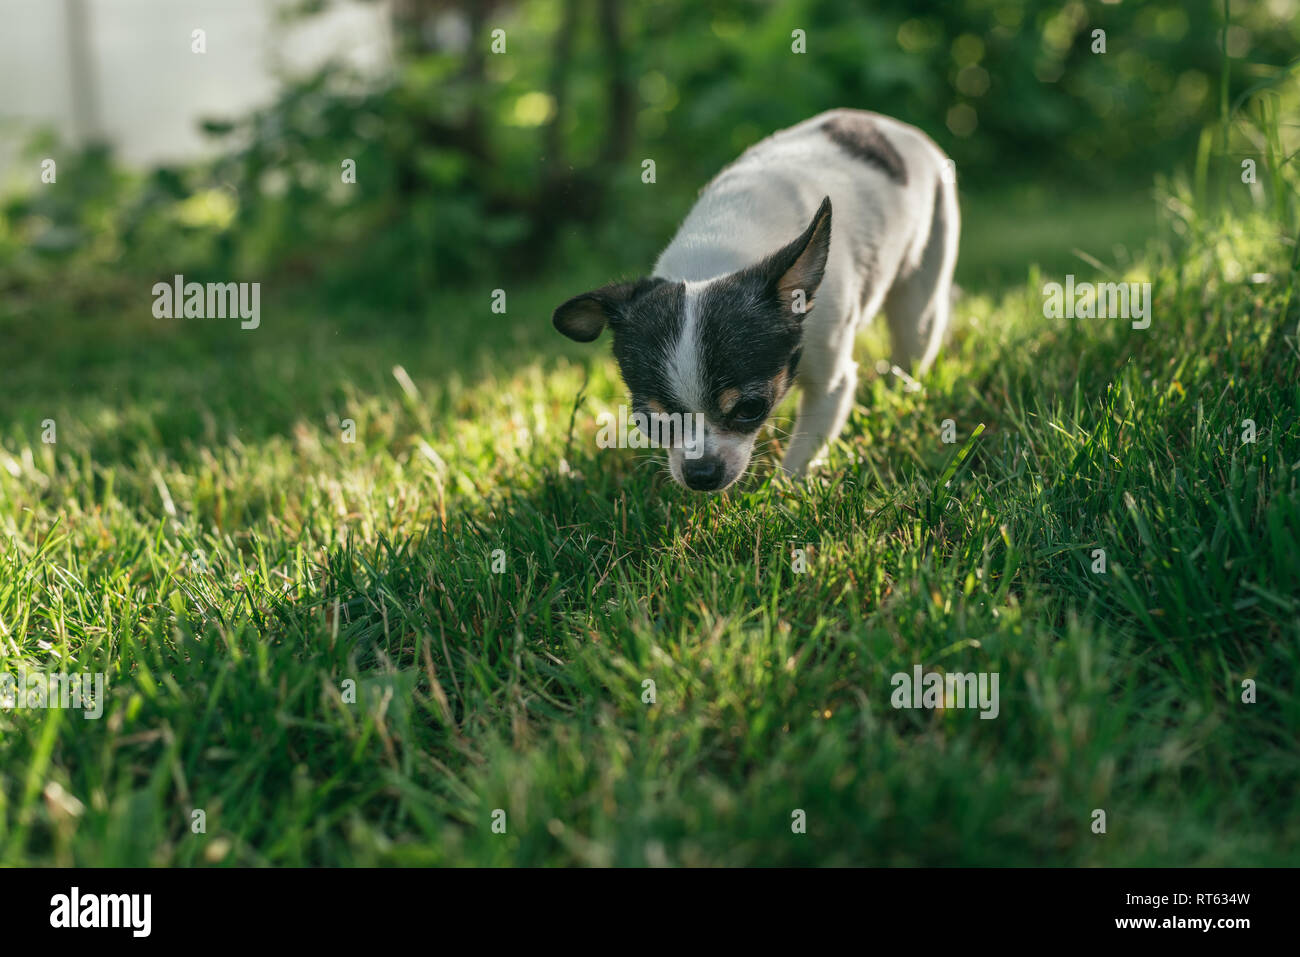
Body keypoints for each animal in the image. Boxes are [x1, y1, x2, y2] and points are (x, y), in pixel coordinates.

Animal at [553, 108, 961, 488]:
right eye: (650, 421)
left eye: (750, 408)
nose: (700, 473)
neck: (716, 262)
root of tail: (895, 127)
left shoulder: (831, 383)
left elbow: (803, 452)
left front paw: (784, 495)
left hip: (923, 287)